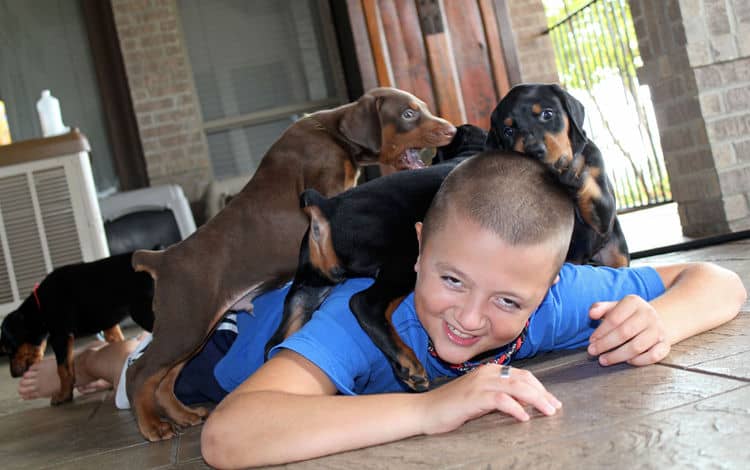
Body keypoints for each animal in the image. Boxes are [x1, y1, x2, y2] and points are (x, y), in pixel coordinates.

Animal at [0, 253, 154, 404]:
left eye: (9, 349)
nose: (13, 375)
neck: (39, 308)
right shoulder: (109, 327)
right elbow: (116, 342)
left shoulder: (60, 336)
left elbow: (62, 369)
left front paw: (63, 395)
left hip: (141, 311)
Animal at [126, 85, 456, 440]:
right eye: (409, 113)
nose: (451, 130)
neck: (332, 132)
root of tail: (161, 259)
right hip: (186, 324)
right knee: (140, 373)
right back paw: (152, 425)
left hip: (196, 332)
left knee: (166, 377)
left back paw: (183, 414)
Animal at [490, 83, 632, 268]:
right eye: (508, 131)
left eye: (547, 114)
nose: (533, 151)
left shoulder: (602, 210)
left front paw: (572, 170)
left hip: (615, 250)